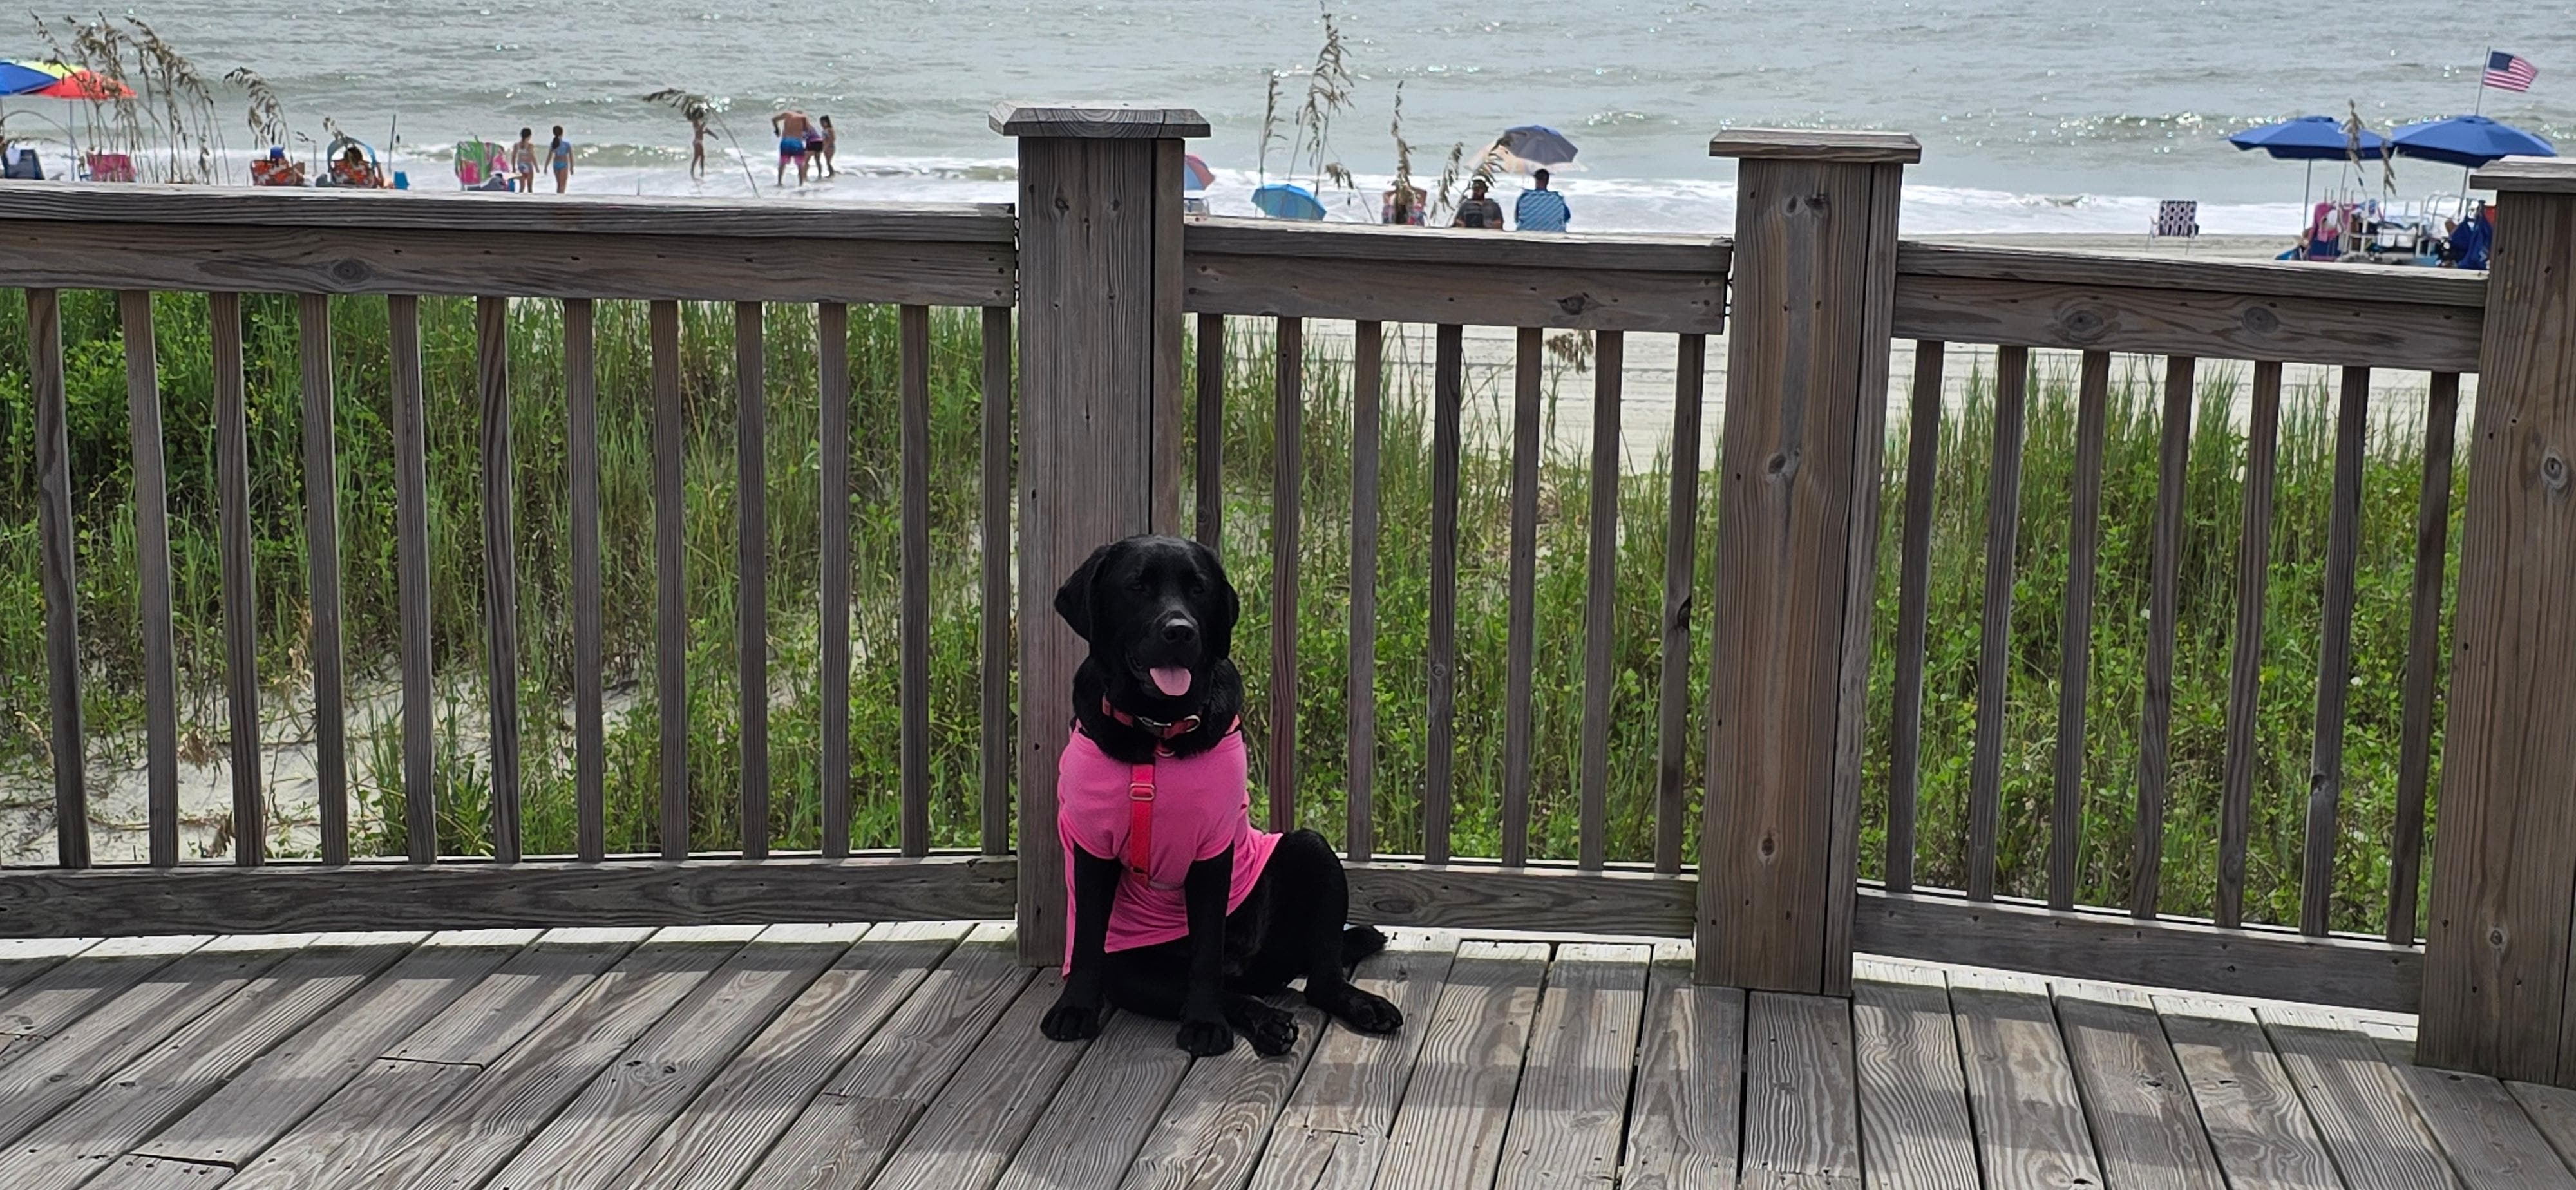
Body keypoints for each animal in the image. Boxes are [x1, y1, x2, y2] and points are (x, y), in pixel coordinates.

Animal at [1039, 534, 1404, 1056]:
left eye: (1198, 588)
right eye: (1137, 585)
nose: (1180, 632)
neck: (1156, 733)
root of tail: (1256, 968)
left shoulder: (1212, 849)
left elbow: (1207, 947)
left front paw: (1205, 1023)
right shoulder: (1091, 846)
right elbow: (1086, 936)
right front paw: (1075, 1008)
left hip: (1311, 850)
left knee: (1319, 980)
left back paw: (1360, 1005)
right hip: (1130, 972)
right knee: (1231, 990)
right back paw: (1267, 1020)